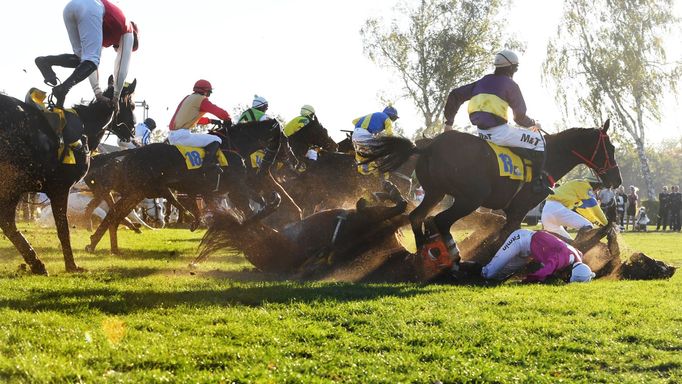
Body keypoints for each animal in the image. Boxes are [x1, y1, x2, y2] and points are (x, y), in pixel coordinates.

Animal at [0, 80, 137, 272]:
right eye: (132, 105)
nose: (132, 129)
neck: (85, 127)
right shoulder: (60, 188)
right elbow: (63, 228)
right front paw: (71, 264)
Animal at [362, 120, 620, 258]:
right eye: (611, 148)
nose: (616, 180)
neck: (548, 157)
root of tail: (429, 147)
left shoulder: (511, 212)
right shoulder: (518, 211)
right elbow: (504, 236)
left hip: (436, 193)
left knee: (417, 216)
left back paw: (424, 254)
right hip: (470, 198)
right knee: (440, 220)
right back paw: (454, 258)